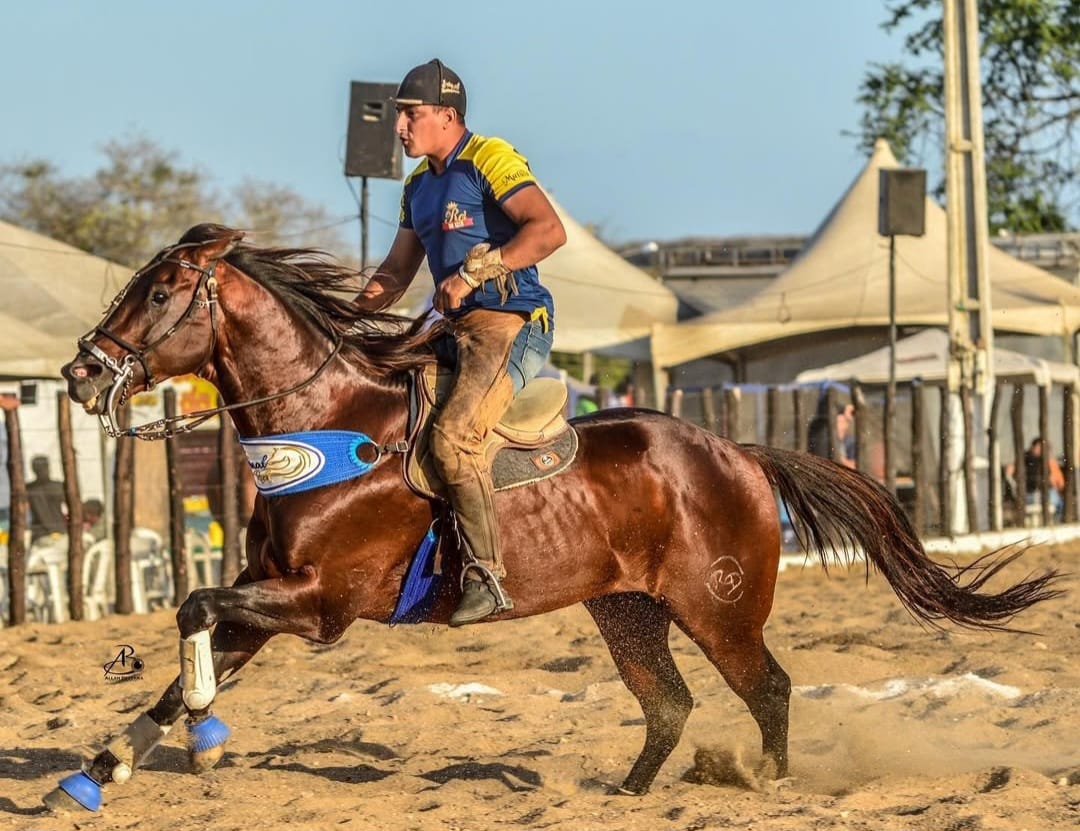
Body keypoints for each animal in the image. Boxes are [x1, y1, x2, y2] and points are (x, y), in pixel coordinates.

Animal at [54, 222, 1058, 812]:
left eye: (160, 290)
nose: (78, 372)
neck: (326, 426)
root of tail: (739, 452)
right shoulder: (265, 594)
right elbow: (185, 648)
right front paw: (98, 771)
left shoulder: (319, 604)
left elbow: (192, 609)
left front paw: (204, 736)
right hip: (627, 610)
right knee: (670, 703)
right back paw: (629, 792)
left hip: (719, 607)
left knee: (765, 687)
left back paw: (768, 782)